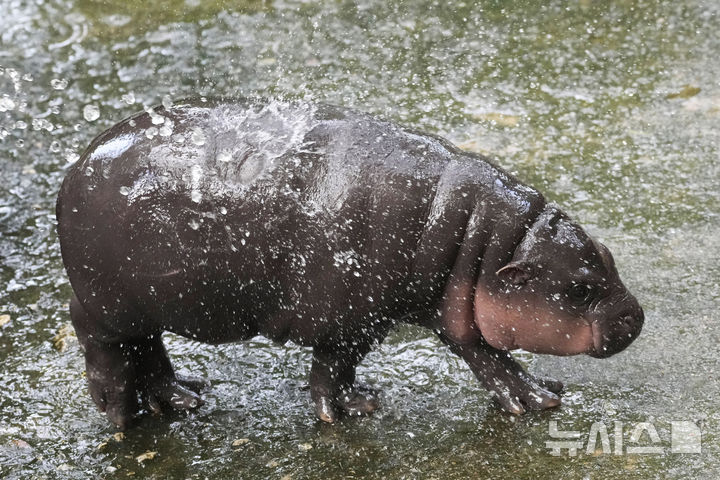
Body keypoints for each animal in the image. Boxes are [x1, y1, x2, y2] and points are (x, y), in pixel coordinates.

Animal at [54, 97, 640, 428]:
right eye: (580, 288)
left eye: (608, 256)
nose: (635, 315)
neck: (482, 241)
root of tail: (76, 166)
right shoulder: (351, 319)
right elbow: (332, 368)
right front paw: (352, 411)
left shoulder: (452, 309)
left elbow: (488, 357)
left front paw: (538, 397)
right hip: (109, 306)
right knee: (105, 346)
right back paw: (121, 417)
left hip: (142, 308)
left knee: (148, 349)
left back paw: (184, 398)